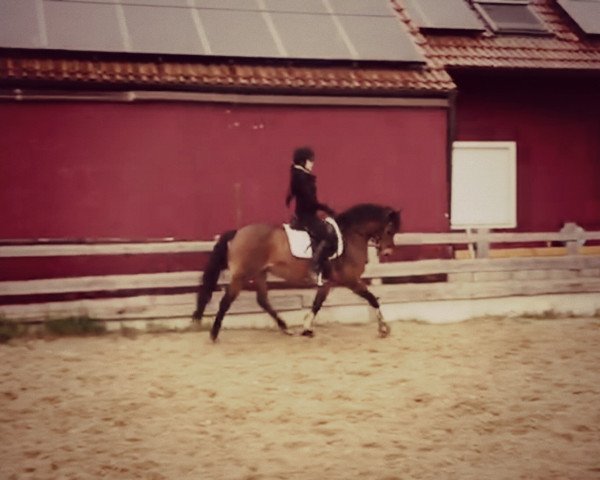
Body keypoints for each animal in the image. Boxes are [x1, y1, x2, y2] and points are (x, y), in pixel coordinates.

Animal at [190, 202, 400, 342]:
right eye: (390, 230)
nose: (387, 252)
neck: (349, 236)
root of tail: (238, 232)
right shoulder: (351, 280)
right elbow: (372, 299)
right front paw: (384, 328)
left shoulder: (328, 283)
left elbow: (317, 304)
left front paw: (307, 328)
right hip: (241, 276)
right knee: (226, 301)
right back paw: (214, 334)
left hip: (260, 273)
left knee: (262, 300)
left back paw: (285, 328)